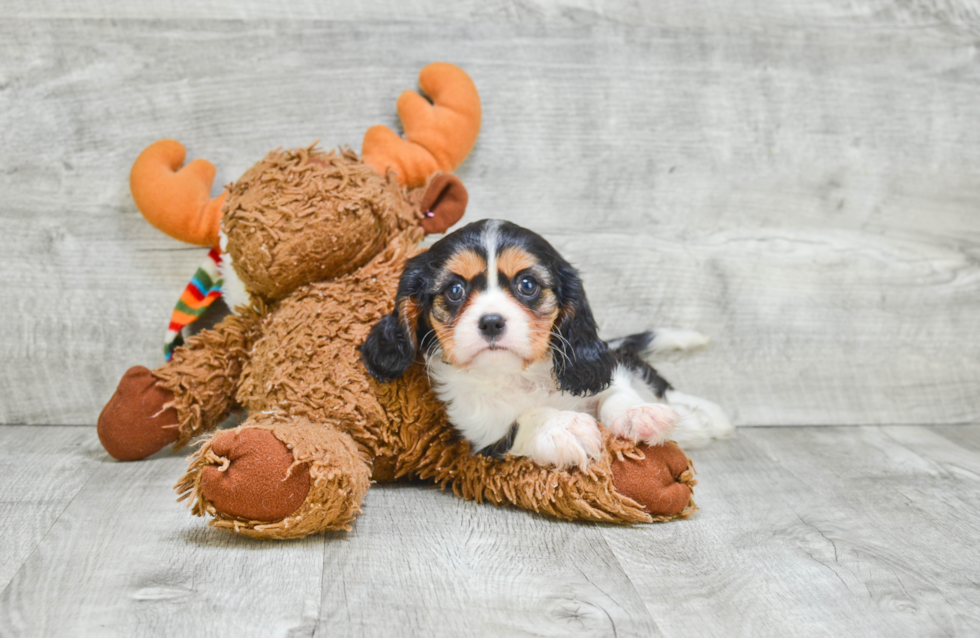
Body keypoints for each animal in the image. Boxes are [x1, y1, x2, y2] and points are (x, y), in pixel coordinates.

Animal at [360, 220, 728, 470]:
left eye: (527, 284)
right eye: (454, 290)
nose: (491, 322)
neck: (518, 375)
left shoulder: (599, 371)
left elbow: (615, 393)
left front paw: (637, 414)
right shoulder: (482, 433)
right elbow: (523, 420)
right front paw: (561, 426)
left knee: (666, 390)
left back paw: (707, 418)